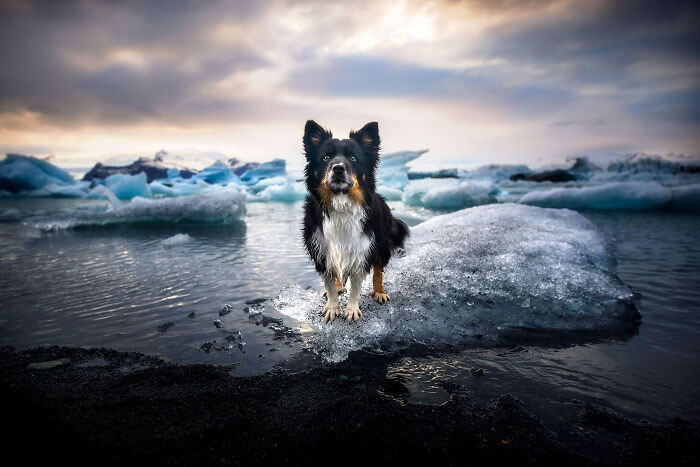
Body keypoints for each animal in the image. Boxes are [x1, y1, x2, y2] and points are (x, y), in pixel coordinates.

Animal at [300, 120, 410, 324]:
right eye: (326, 157)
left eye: (353, 157)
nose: (338, 168)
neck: (341, 204)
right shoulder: (321, 249)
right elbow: (329, 281)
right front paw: (332, 307)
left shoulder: (363, 247)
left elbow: (358, 284)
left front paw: (351, 310)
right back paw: (339, 286)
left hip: (382, 245)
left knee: (378, 271)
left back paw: (379, 292)